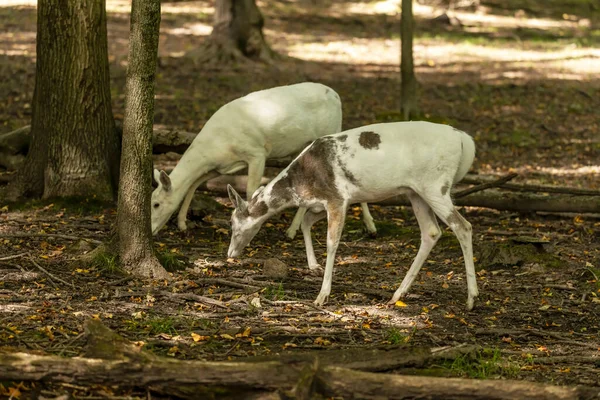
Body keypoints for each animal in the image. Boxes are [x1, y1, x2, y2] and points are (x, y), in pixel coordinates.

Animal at [150, 82, 376, 238]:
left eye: (156, 204)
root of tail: (336, 95)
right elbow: (193, 185)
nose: (150, 230)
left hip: (332, 130)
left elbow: (251, 190)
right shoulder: (220, 166)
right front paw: (182, 224)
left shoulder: (257, 153)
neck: (216, 144)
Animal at [225, 121, 478, 310]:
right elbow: (305, 222)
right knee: (431, 232)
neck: (301, 186)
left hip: (435, 186)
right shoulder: (322, 204)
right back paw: (397, 294)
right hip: (415, 193)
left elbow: (332, 242)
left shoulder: (337, 197)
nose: (229, 253)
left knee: (463, 226)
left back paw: (471, 298)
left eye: (232, 223)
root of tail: (464, 139)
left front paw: (322, 295)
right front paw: (313, 265)